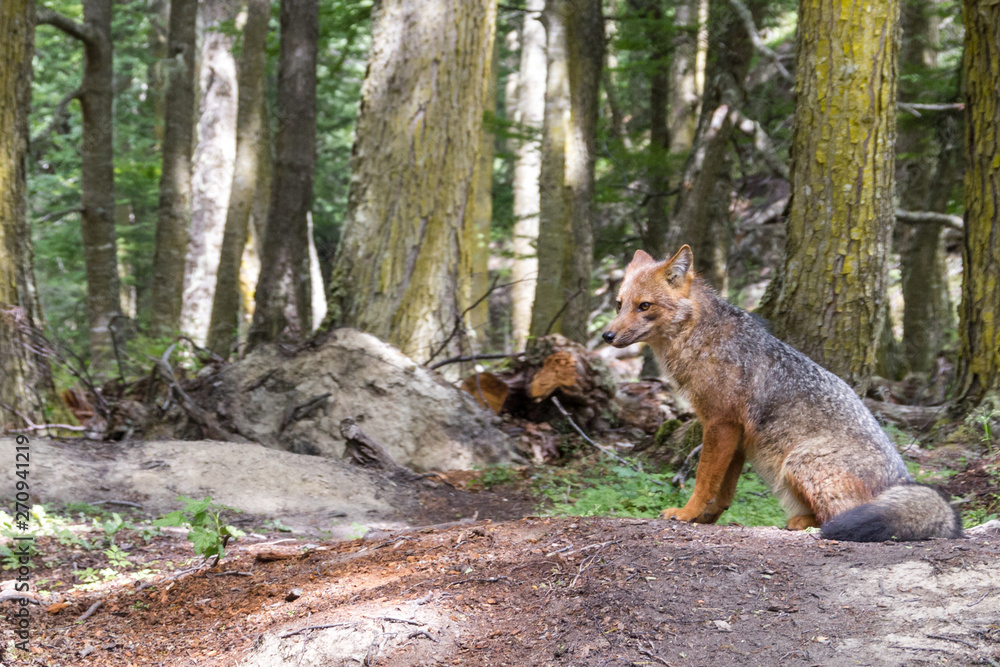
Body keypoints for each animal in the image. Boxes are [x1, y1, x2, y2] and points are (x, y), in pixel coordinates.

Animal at [602, 245, 962, 542]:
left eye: (644, 306)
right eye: (619, 305)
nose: (607, 335)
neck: (700, 339)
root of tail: (902, 480)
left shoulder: (720, 424)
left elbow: (704, 480)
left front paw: (686, 514)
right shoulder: (736, 435)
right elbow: (724, 490)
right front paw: (707, 517)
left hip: (797, 461)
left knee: (837, 518)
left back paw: (803, 523)